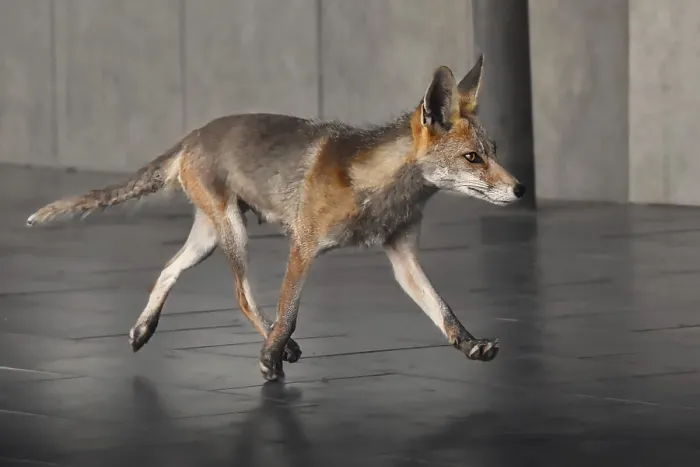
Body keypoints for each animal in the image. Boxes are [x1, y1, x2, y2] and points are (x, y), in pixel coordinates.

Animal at [26, 55, 525, 381]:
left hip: (209, 237)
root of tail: (193, 134)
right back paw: (273, 346)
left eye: (494, 152)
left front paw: (470, 344)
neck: (378, 188)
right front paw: (271, 354)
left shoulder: (403, 254)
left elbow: (442, 309)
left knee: (168, 269)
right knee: (242, 296)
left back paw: (143, 328)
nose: (520, 189)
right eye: (472, 158)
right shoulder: (303, 244)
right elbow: (289, 312)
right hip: (232, 231)